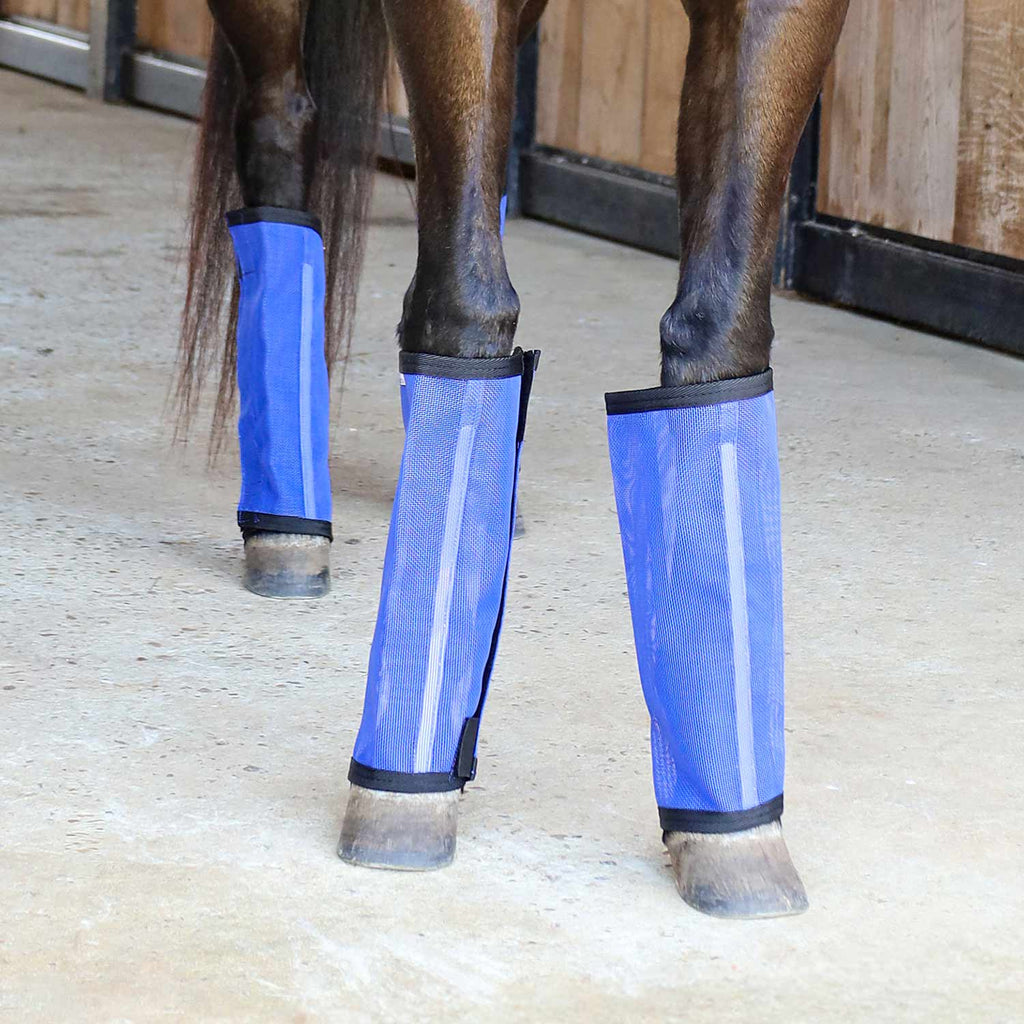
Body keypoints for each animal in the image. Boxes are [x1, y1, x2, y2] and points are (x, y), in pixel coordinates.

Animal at [175, 0, 850, 919]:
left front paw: (734, 834)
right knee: (282, 129)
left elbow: (719, 329)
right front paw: (401, 795)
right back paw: (288, 530)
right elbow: (463, 304)